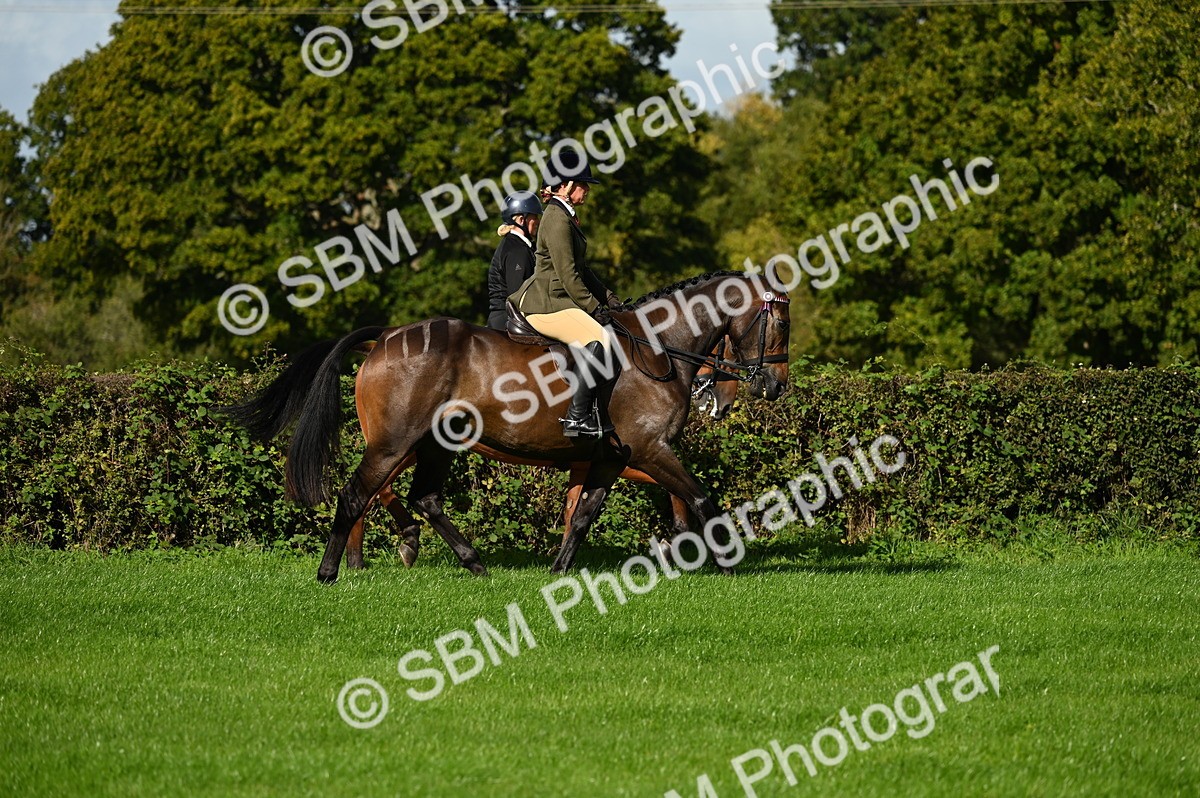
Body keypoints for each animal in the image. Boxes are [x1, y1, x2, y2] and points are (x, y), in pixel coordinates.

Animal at [226, 271, 790, 582]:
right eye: (781, 324)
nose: (774, 387)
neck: (656, 350)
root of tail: (387, 335)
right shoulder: (651, 450)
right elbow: (698, 497)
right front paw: (727, 561)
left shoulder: (613, 458)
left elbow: (583, 514)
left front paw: (559, 570)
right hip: (395, 443)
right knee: (358, 493)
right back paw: (334, 571)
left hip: (434, 444)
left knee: (422, 497)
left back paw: (472, 563)